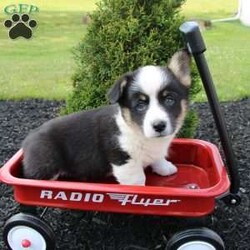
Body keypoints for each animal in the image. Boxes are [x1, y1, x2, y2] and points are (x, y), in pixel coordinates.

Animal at [22, 49, 191, 186]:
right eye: (140, 105)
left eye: (169, 100)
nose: (159, 126)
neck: (138, 132)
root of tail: (28, 138)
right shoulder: (123, 159)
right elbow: (138, 180)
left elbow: (158, 157)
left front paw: (164, 167)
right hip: (46, 166)